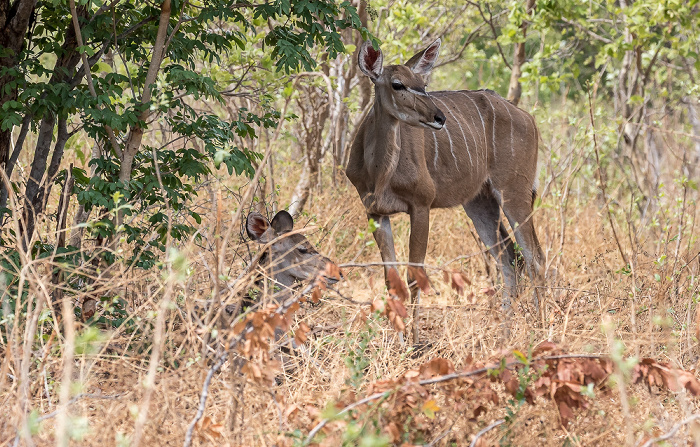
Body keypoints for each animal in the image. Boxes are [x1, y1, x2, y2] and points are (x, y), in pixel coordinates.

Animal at [348, 39, 548, 344]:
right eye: (397, 84)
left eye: (423, 84)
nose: (438, 117)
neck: (380, 173)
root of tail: (530, 119)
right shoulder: (375, 212)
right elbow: (391, 279)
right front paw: (399, 341)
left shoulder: (421, 205)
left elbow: (414, 276)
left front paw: (414, 343)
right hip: (479, 203)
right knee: (510, 259)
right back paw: (503, 334)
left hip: (514, 192)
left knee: (534, 257)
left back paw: (541, 329)